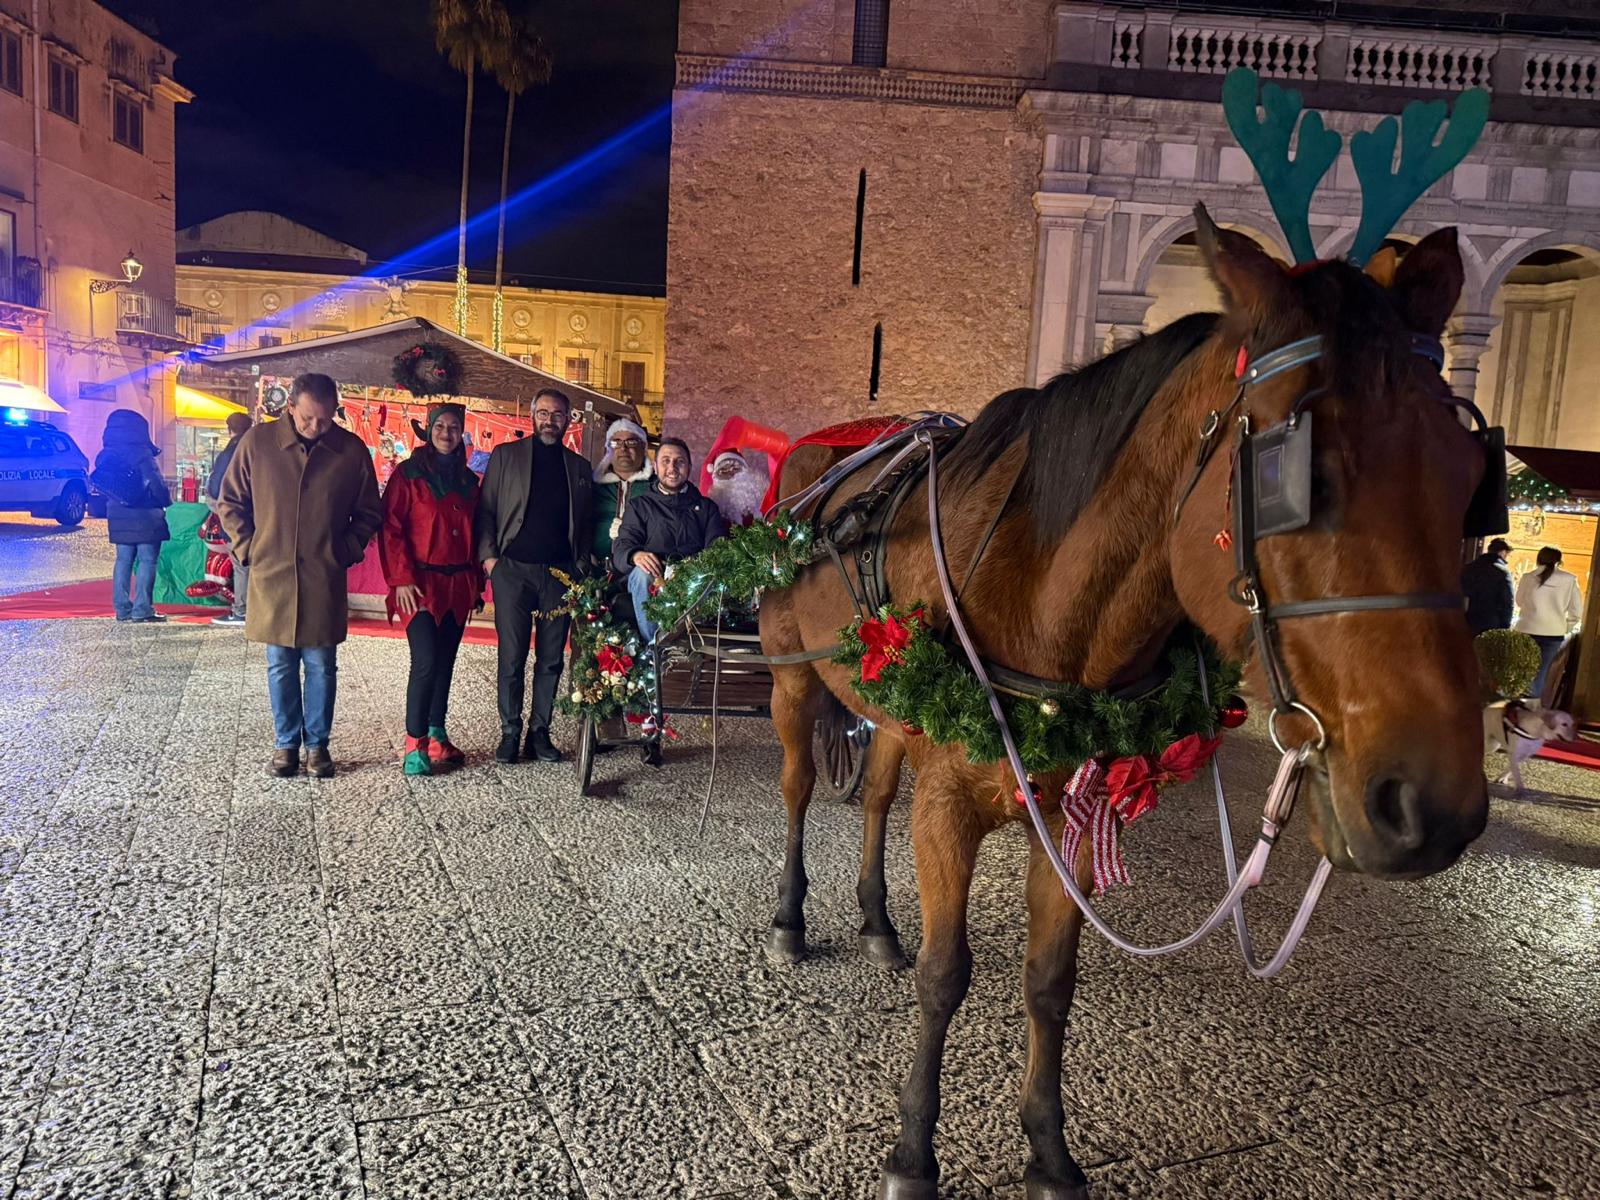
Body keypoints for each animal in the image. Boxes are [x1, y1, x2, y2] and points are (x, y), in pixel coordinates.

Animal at [756, 210, 1490, 1200]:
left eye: (1471, 475)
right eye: (1288, 475)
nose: (1433, 806)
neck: (1042, 600)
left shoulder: (1073, 806)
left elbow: (1049, 980)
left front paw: (1047, 1147)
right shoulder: (950, 802)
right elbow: (947, 976)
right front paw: (913, 1148)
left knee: (872, 796)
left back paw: (875, 921)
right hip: (793, 679)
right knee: (799, 790)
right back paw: (792, 920)